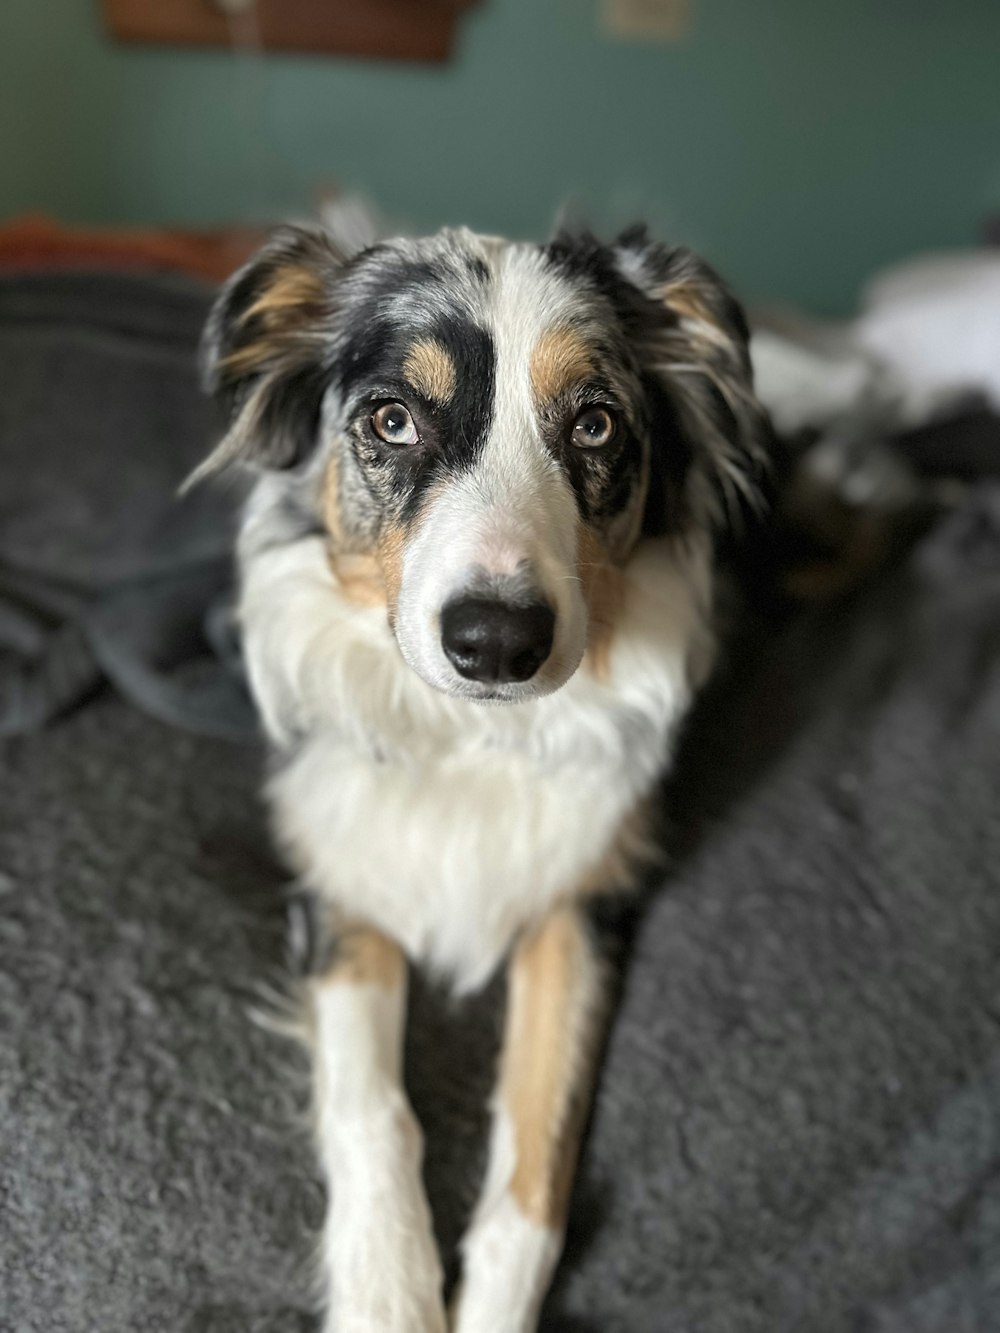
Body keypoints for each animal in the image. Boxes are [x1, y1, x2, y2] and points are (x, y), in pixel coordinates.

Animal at [192, 223, 773, 1327]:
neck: (467, 736)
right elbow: (374, 1106)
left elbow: (538, 1144)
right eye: (392, 419)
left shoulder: (579, 903)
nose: (497, 641)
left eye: (595, 424)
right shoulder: (343, 888)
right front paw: (388, 1292)